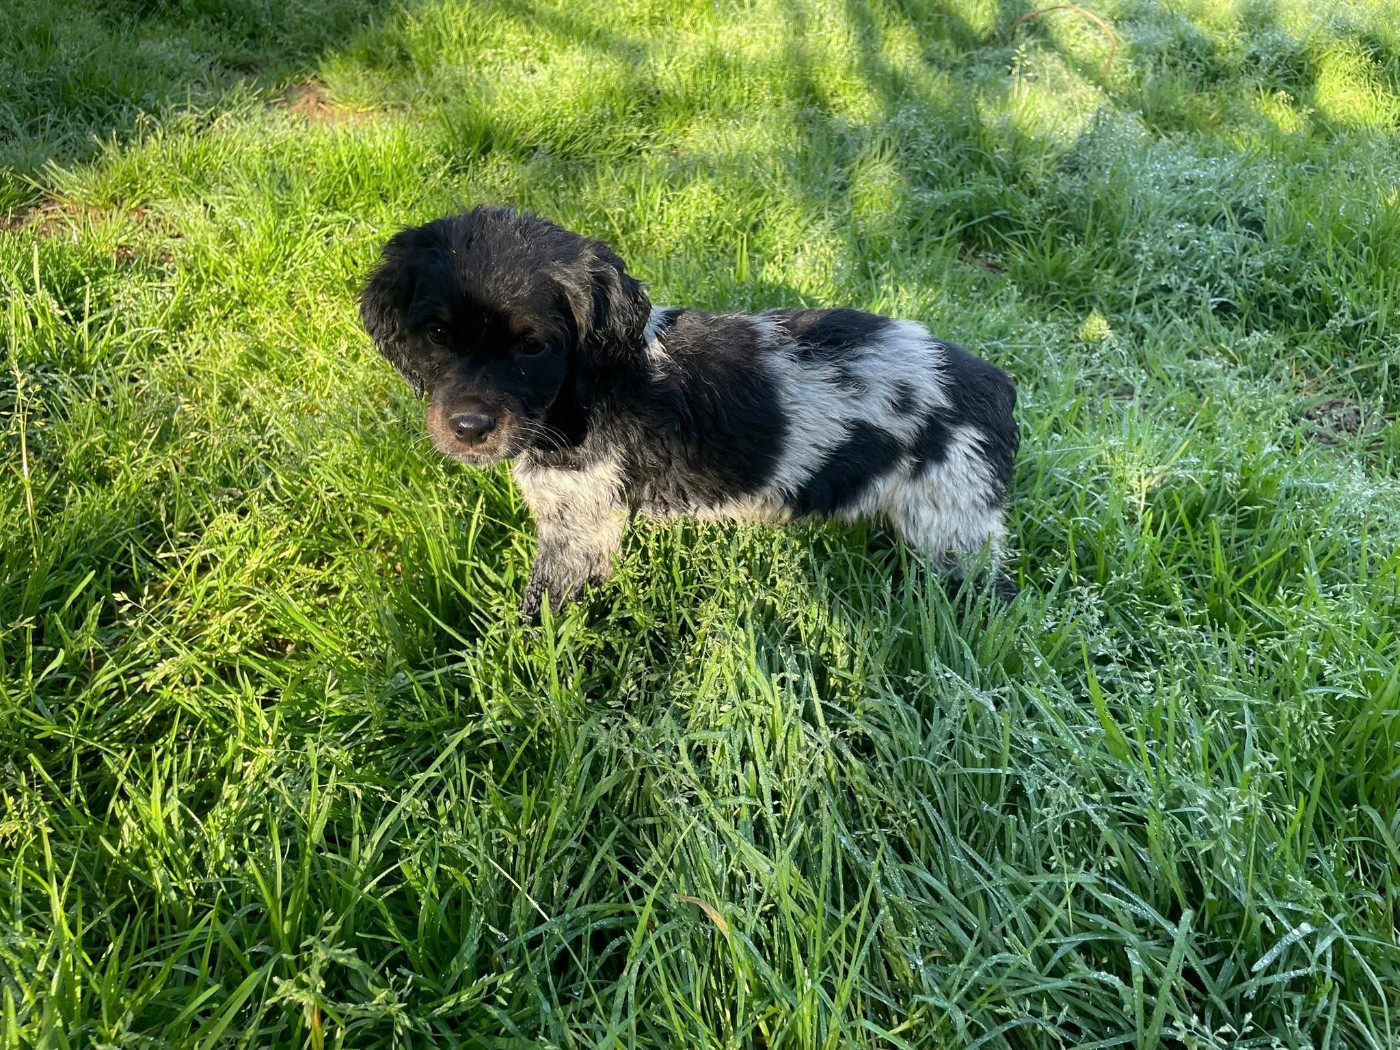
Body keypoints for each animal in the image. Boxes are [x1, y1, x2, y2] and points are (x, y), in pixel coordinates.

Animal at [361, 205, 1019, 616]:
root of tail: (993, 384)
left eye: (532, 345)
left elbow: (541, 608)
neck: (583, 389)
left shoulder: (578, 526)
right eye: (437, 335)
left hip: (954, 521)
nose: (468, 428)